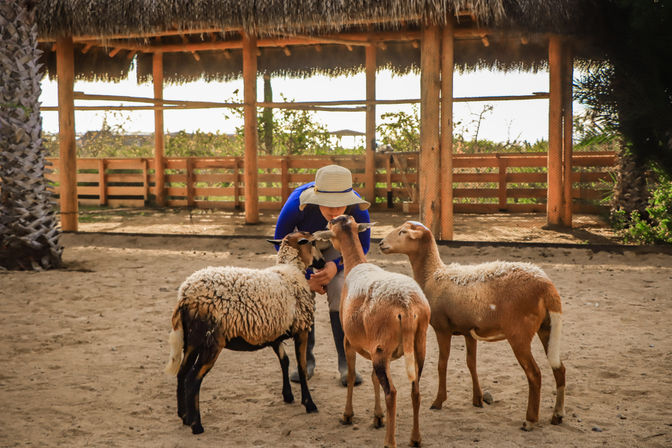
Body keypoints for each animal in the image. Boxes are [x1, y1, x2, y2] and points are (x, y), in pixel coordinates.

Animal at [164, 231, 325, 434]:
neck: (290, 269)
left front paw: (288, 395)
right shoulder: (301, 330)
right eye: (313, 243)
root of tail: (185, 296)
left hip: (193, 340)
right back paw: (196, 425)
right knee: (193, 379)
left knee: (182, 373)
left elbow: (285, 361)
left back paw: (184, 416)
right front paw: (309, 404)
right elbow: (302, 368)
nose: (323, 262)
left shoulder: (274, 333)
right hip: (211, 342)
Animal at [314, 215, 431, 448]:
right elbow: (373, 378)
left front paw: (347, 415)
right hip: (417, 346)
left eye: (330, 226)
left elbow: (351, 376)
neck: (357, 264)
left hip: (381, 348)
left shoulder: (350, 342)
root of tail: (406, 306)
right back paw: (415, 438)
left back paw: (389, 442)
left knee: (392, 393)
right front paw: (377, 417)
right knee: (415, 389)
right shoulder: (376, 348)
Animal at [379, 221, 566, 431]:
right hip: (547, 327)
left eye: (403, 232)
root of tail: (547, 286)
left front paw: (438, 401)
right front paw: (477, 399)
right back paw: (557, 414)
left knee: (535, 374)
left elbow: (442, 363)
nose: (381, 243)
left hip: (519, 335)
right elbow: (471, 363)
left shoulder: (442, 328)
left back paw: (530, 420)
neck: (433, 275)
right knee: (559, 369)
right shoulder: (468, 331)